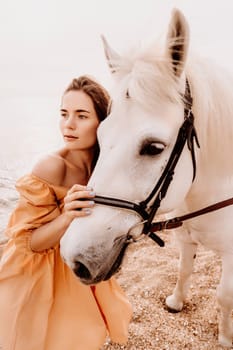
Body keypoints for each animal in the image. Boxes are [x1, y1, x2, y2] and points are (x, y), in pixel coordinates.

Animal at [60, 8, 233, 348]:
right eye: (100, 135)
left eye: (154, 147)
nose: (74, 258)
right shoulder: (185, 237)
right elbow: (183, 270)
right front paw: (176, 302)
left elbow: (224, 296)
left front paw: (225, 337)